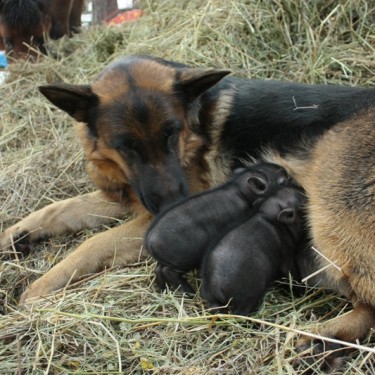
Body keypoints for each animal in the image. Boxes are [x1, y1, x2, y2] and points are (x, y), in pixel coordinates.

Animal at [0, 54, 375, 360]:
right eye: (127, 147)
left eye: (172, 133)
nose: (174, 204)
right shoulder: (128, 198)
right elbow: (60, 208)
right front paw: (15, 235)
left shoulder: (147, 219)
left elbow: (91, 243)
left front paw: (40, 289)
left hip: (330, 220)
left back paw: (321, 338)